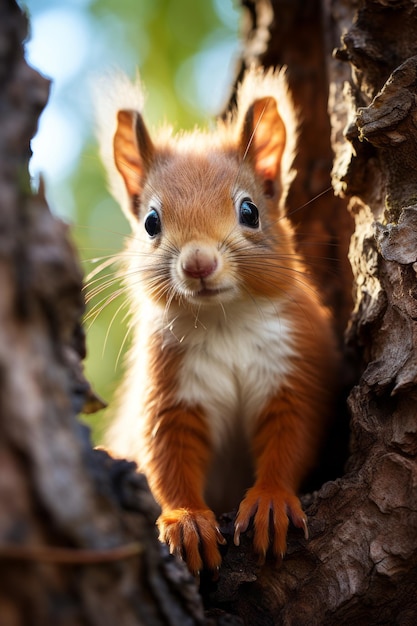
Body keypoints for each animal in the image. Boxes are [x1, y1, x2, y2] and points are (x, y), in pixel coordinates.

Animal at [99, 67, 340, 572]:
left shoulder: (296, 368)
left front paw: (270, 501)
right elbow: (165, 456)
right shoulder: (168, 390)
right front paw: (186, 520)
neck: (224, 319)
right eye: (150, 222)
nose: (198, 264)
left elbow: (292, 436)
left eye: (250, 211)